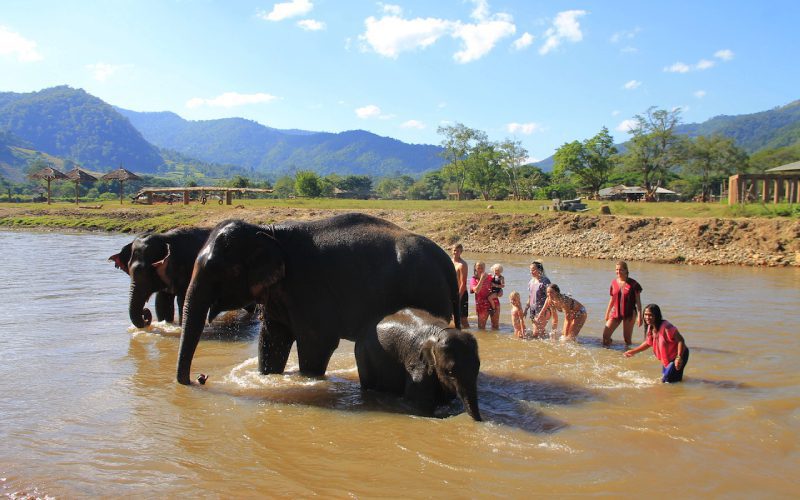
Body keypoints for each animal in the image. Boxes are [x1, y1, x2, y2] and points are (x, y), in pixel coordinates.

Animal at [177, 212, 461, 385]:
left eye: (221, 271)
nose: (199, 378)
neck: (269, 233)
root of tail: (445, 261)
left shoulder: (309, 289)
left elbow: (316, 344)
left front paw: (307, 380)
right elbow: (272, 339)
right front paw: (269, 377)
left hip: (427, 293)